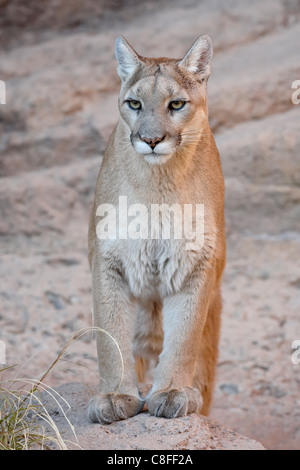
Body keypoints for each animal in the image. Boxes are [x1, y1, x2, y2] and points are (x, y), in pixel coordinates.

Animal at [86, 33, 225, 422]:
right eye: (134, 103)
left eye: (176, 104)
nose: (150, 140)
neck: (158, 185)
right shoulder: (108, 260)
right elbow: (110, 336)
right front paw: (115, 395)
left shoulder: (196, 260)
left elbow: (184, 337)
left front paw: (173, 390)